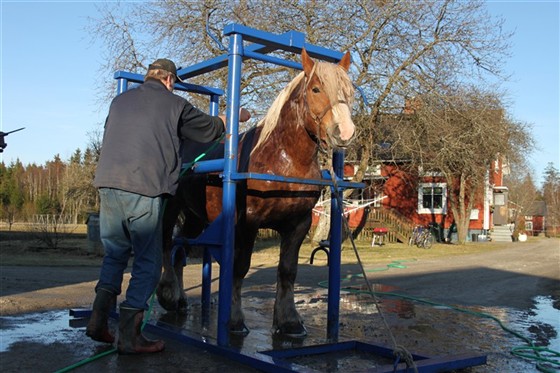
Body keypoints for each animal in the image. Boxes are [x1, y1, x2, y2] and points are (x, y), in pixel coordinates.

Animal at [156, 48, 354, 336]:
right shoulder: (248, 222)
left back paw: (181, 299)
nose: (345, 132)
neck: (282, 160)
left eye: (349, 91)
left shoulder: (298, 224)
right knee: (166, 244)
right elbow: (239, 268)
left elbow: (287, 271)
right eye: (316, 89)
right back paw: (168, 294)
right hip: (171, 207)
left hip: (196, 216)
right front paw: (235, 320)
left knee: (181, 249)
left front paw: (289, 321)